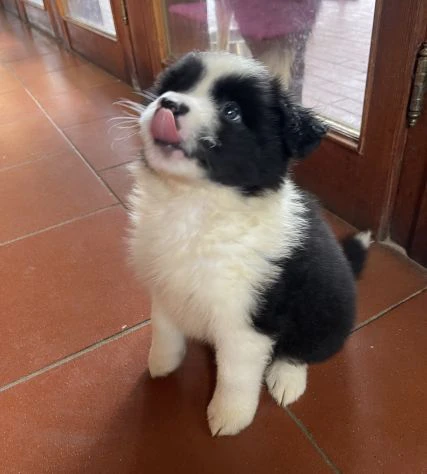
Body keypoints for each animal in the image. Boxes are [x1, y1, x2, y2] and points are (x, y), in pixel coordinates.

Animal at [128, 51, 372, 436]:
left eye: (232, 112)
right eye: (175, 86)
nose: (168, 103)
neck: (194, 204)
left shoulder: (246, 320)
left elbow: (236, 375)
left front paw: (229, 416)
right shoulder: (163, 285)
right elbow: (164, 329)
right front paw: (162, 364)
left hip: (326, 312)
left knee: (303, 350)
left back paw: (287, 379)